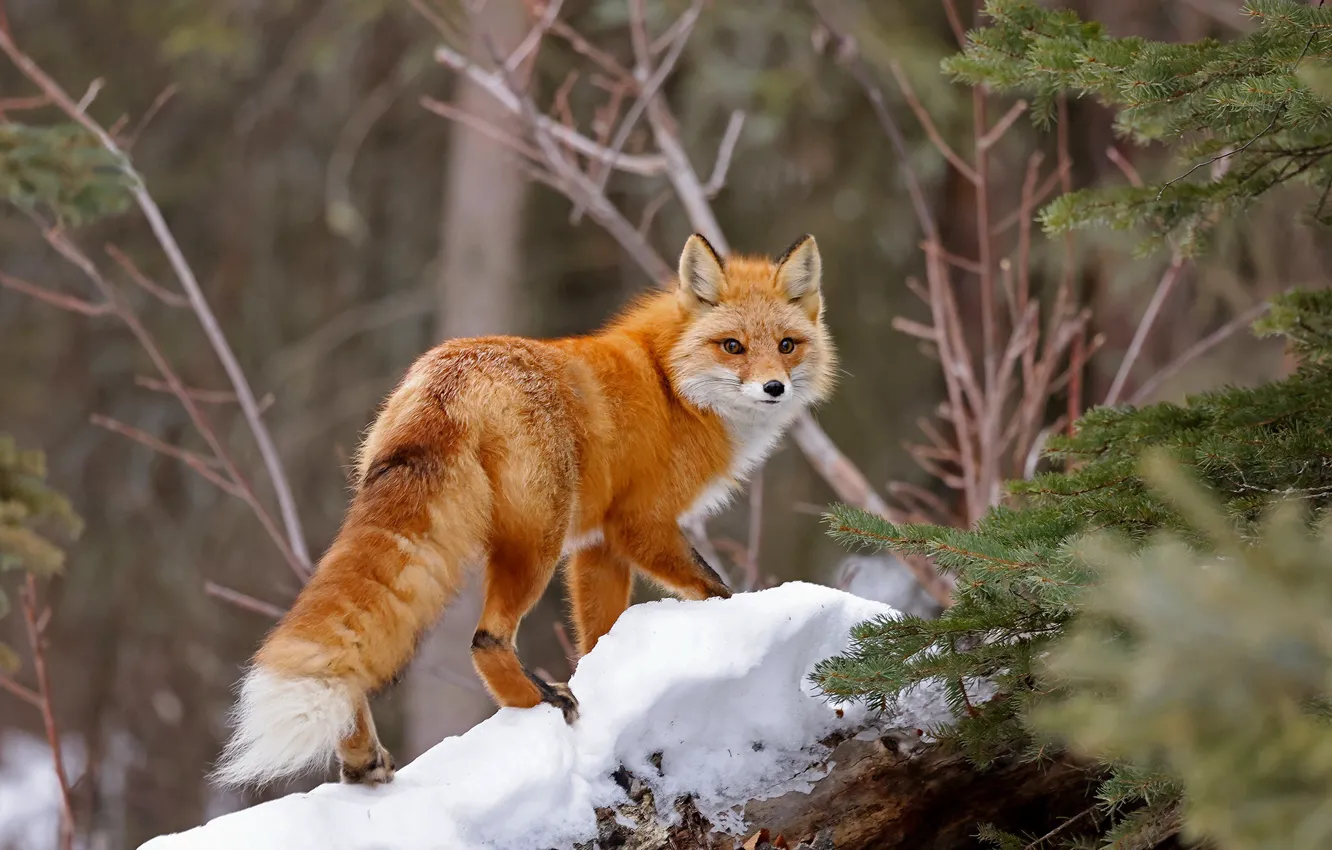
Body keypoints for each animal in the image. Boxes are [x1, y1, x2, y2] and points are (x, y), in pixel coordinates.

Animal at [213, 234, 836, 794]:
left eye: (787, 345)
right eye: (733, 346)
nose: (774, 388)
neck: (671, 386)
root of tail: (450, 374)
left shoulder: (598, 545)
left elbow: (600, 637)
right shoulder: (639, 525)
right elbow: (717, 591)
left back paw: (364, 761)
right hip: (538, 542)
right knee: (485, 639)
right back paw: (542, 703)